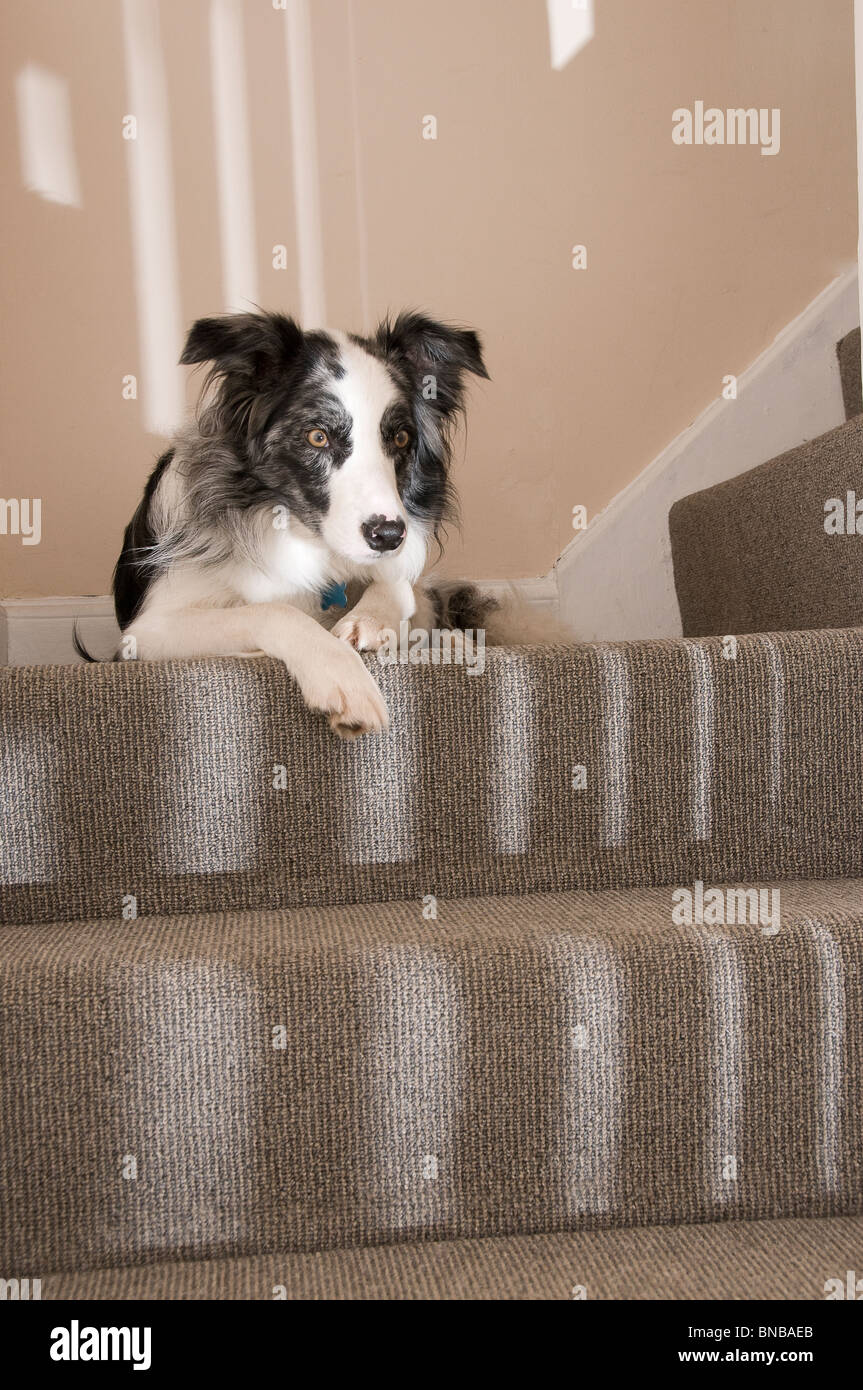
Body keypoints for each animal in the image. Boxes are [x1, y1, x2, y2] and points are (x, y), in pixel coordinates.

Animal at [82, 308, 558, 733]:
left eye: (401, 438)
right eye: (318, 436)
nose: (389, 536)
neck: (297, 534)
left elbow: (403, 589)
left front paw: (374, 621)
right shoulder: (148, 629)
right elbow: (274, 611)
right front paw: (343, 679)